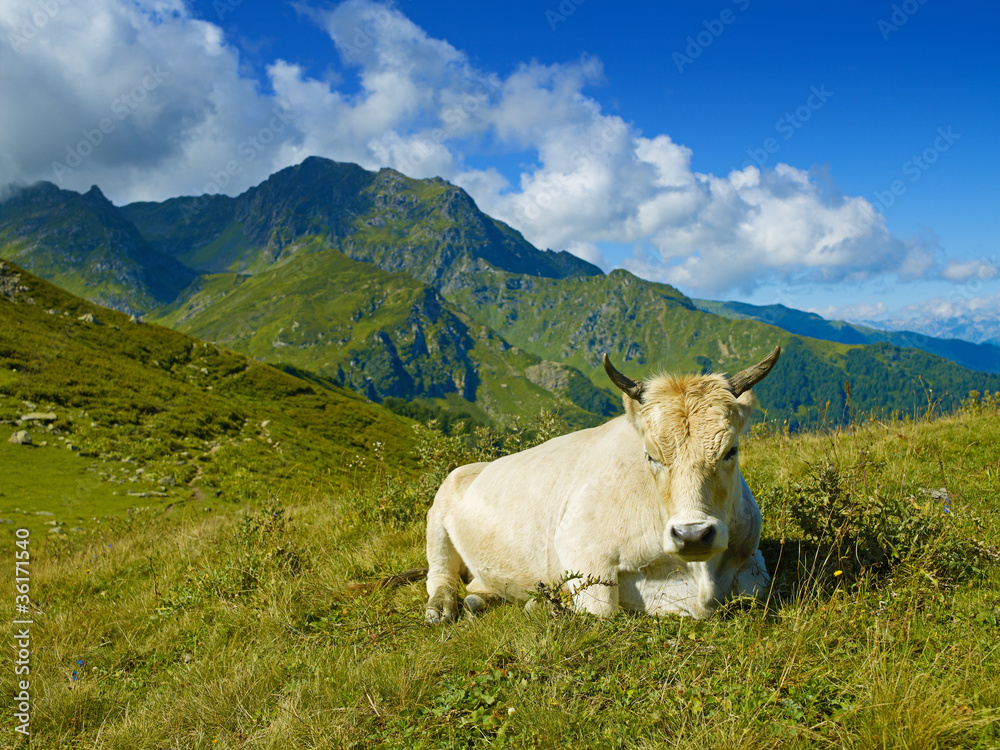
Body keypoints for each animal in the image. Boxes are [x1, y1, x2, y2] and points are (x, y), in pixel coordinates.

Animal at [422, 346, 780, 624]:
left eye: (731, 450)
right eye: (651, 455)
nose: (692, 535)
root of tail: (475, 466)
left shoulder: (752, 554)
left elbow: (756, 590)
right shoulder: (579, 546)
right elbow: (602, 610)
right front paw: (544, 605)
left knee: (476, 586)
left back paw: (480, 599)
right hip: (438, 517)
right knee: (439, 576)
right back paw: (441, 608)